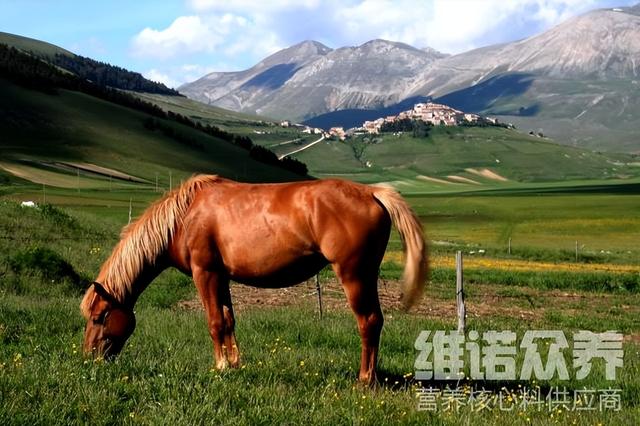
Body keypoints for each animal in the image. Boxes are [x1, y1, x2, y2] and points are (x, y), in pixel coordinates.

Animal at [81, 173, 430, 382]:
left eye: (100, 317)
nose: (89, 359)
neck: (184, 217)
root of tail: (372, 192)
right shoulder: (221, 277)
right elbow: (228, 319)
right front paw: (235, 364)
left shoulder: (205, 273)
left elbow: (214, 322)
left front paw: (220, 366)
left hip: (355, 275)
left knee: (368, 322)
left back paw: (365, 380)